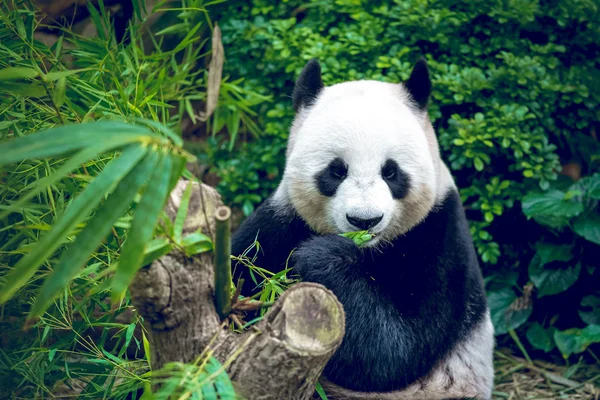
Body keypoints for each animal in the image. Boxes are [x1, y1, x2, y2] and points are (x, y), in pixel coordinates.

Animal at [232, 57, 494, 400]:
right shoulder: (281, 222)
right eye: (336, 170)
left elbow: (394, 351)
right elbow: (241, 267)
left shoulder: (439, 240)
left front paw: (322, 256)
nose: (364, 220)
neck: (368, 249)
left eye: (391, 172)